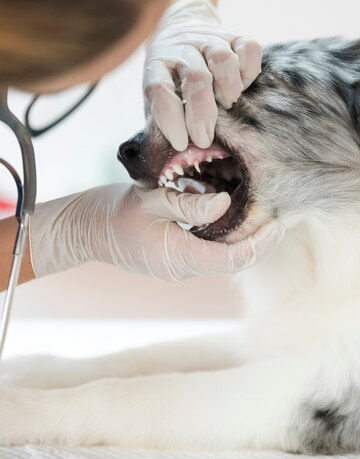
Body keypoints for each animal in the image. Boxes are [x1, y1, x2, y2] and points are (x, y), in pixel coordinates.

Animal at [0, 37, 358, 454]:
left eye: (253, 82)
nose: (126, 150)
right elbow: (145, 353)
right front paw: (30, 365)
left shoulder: (307, 391)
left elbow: (120, 394)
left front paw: (16, 407)